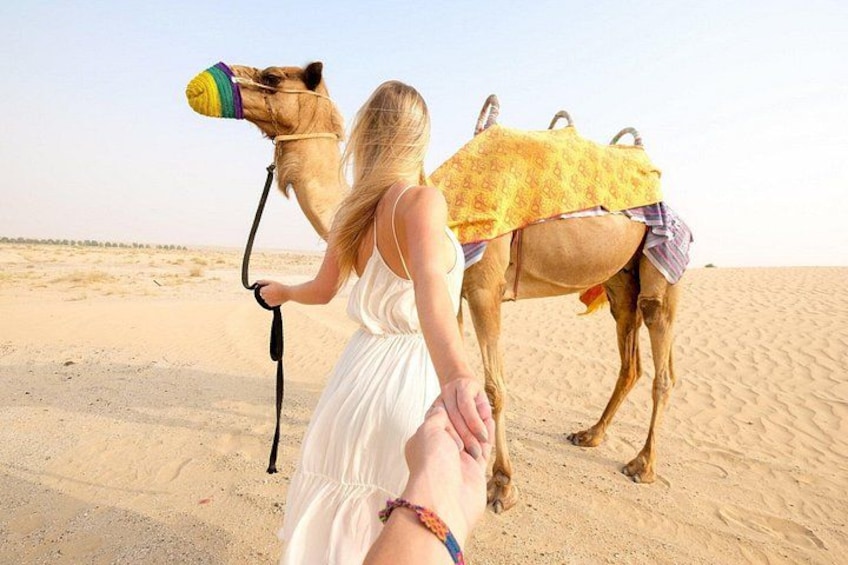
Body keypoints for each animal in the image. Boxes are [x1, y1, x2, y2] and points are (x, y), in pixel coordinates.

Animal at [186, 61, 682, 513]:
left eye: (272, 76)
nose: (199, 85)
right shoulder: (451, 297)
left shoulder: (483, 287)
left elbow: (493, 387)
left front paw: (500, 486)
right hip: (618, 280)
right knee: (630, 359)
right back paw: (590, 435)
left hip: (662, 260)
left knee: (660, 361)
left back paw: (642, 464)